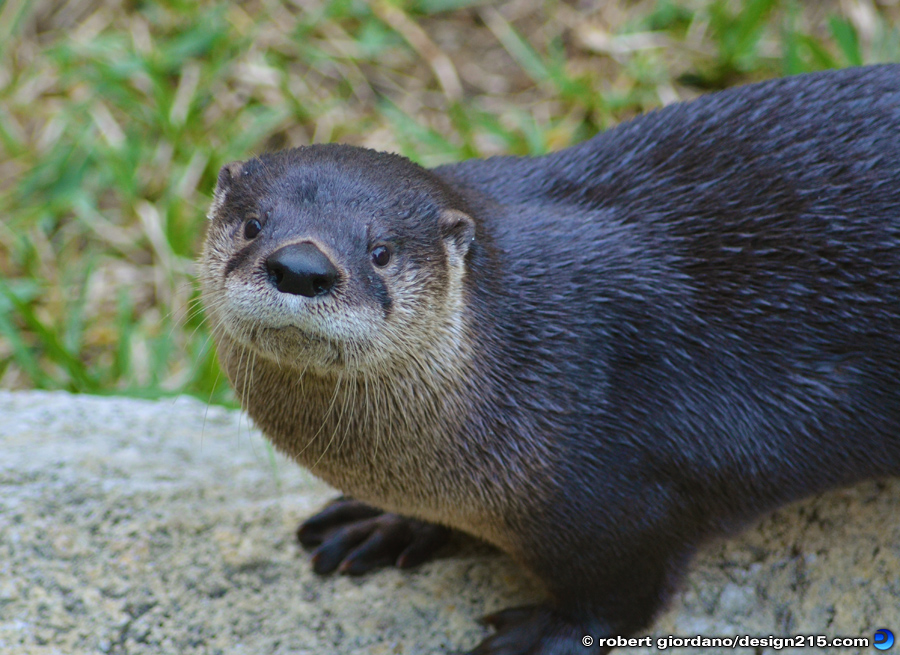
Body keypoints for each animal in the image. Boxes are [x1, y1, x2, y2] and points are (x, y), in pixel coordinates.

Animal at [200, 64, 900, 654]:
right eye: (254, 224)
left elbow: (623, 597)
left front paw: (542, 636)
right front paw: (386, 523)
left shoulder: (633, 495)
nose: (302, 266)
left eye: (381, 252)